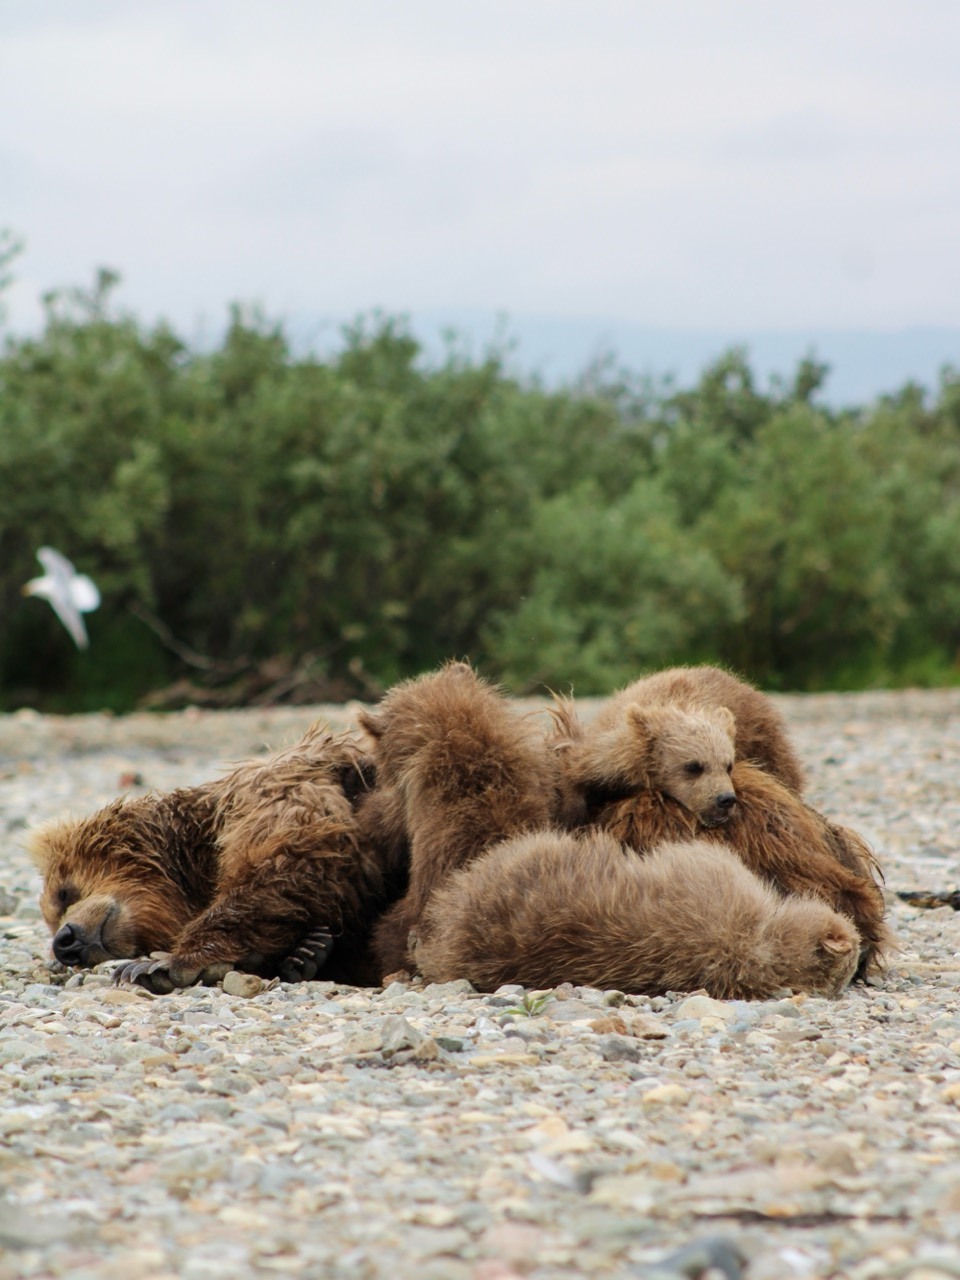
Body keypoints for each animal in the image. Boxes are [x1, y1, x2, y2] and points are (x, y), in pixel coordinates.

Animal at [29, 723, 402, 992]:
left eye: (64, 892)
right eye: (52, 919)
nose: (66, 943)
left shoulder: (274, 790)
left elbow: (288, 858)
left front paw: (162, 965)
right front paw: (304, 951)